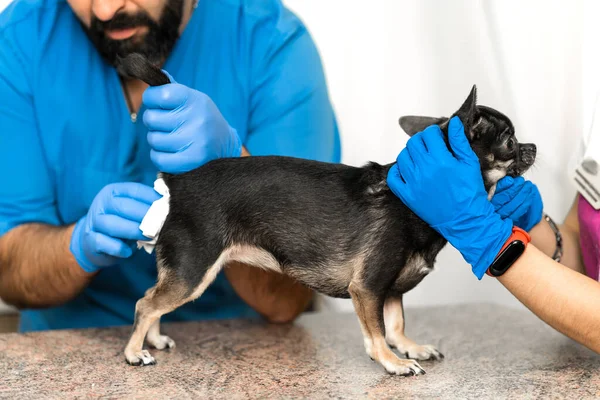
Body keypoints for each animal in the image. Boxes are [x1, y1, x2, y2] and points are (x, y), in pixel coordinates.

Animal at [116, 53, 536, 376]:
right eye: (509, 140)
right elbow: (377, 333)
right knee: (144, 304)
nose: (532, 147)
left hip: (184, 274)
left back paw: (154, 339)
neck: (414, 202)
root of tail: (178, 181)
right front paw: (392, 362)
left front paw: (409, 347)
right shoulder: (367, 288)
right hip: (193, 272)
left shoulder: (390, 289)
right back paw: (134, 352)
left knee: (152, 300)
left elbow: (397, 323)